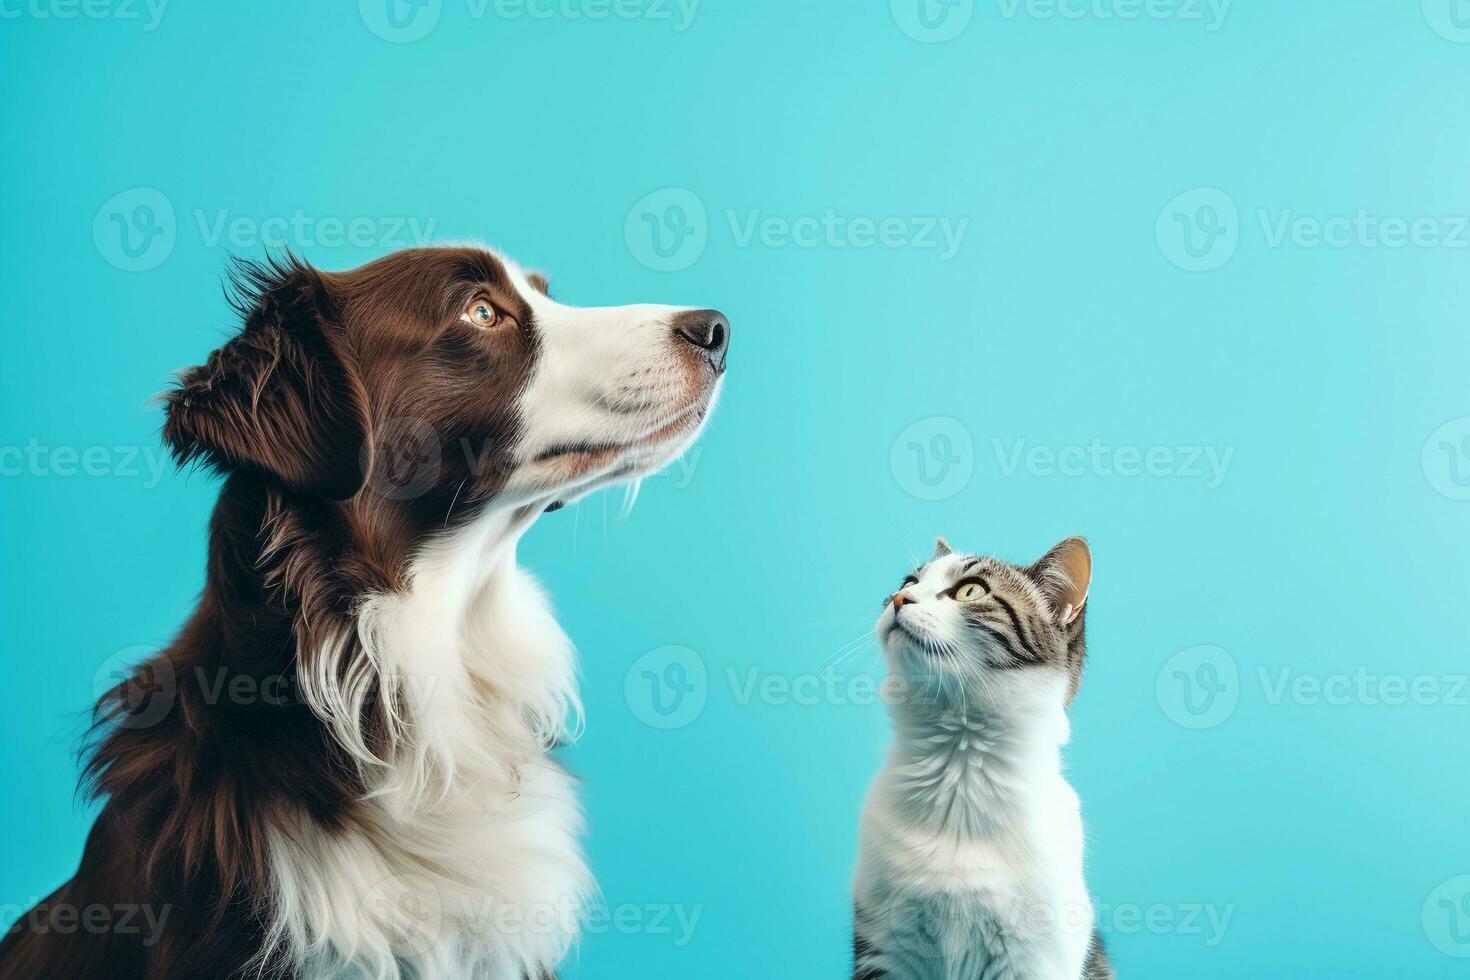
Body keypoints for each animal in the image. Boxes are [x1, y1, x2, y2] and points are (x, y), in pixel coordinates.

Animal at [852, 537, 1111, 980]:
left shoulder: (1037, 957)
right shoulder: (883, 946)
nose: (899, 598)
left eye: (970, 591)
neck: (959, 766)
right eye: (909, 582)